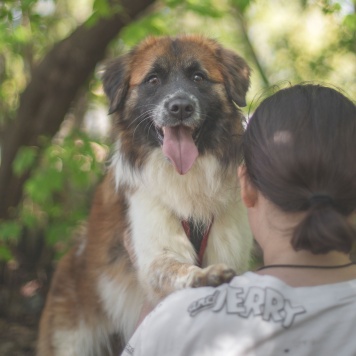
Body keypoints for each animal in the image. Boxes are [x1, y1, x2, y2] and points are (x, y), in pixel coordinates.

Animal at [36, 34, 253, 356]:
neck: (186, 176)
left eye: (198, 77)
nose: (180, 107)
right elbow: (177, 268)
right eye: (153, 80)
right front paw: (204, 276)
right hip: (71, 337)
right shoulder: (154, 254)